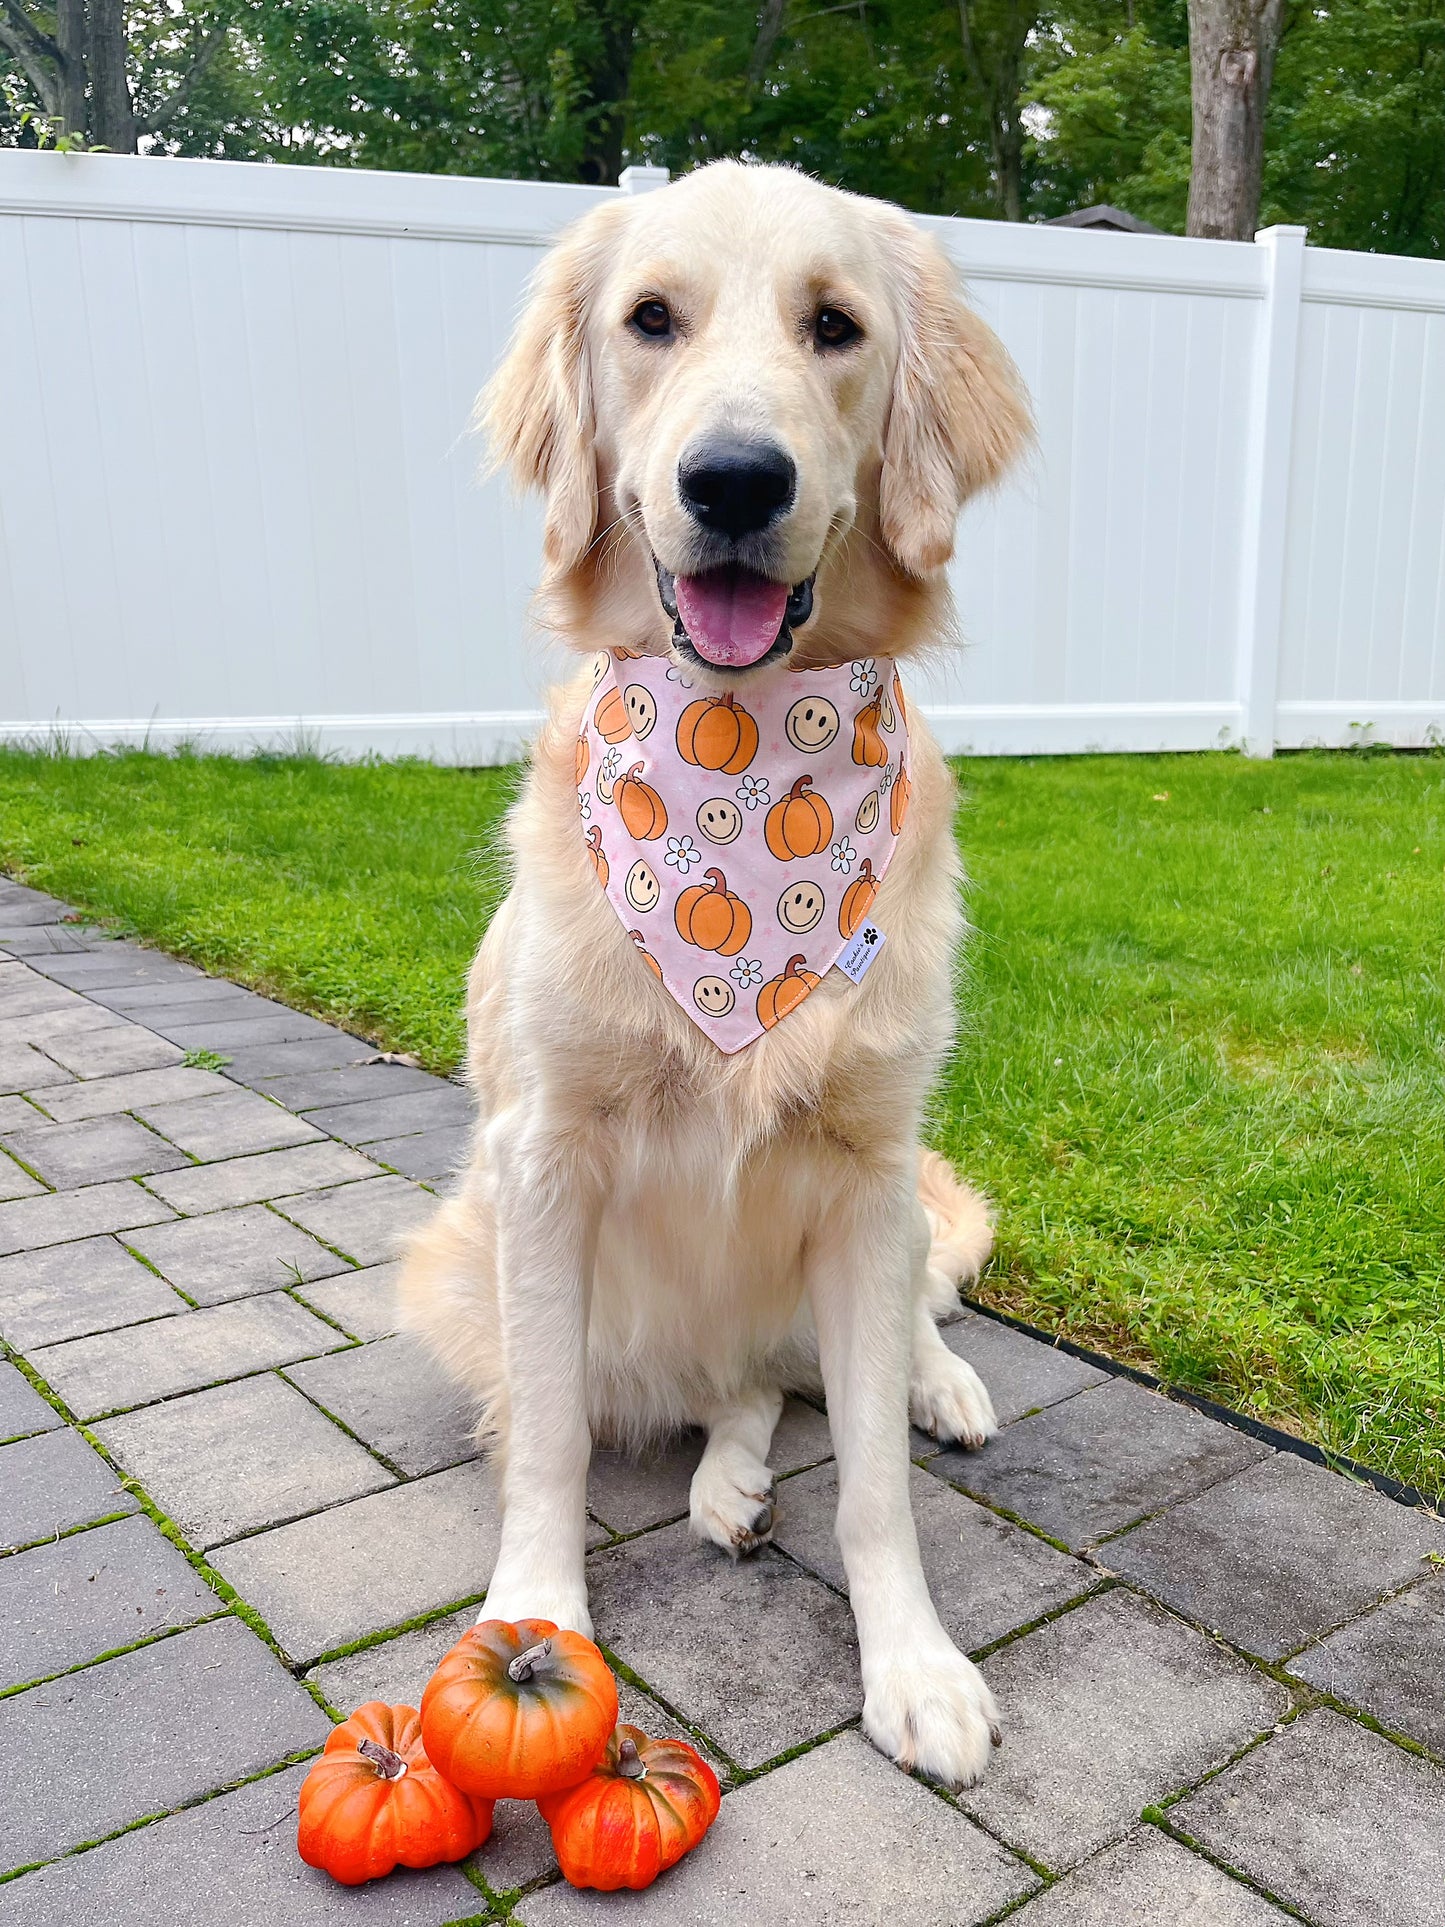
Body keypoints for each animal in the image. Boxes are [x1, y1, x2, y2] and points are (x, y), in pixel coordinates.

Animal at [396, 158, 1032, 1780]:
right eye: (649, 320)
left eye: (835, 325)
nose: (735, 482)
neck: (739, 760)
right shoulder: (542, 1160)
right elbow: (549, 1433)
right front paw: (532, 1621)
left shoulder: (866, 1173)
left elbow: (872, 1480)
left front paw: (915, 1663)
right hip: (465, 1264)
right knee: (725, 1389)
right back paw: (726, 1485)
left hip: (882, 1219)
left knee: (866, 1337)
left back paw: (934, 1388)